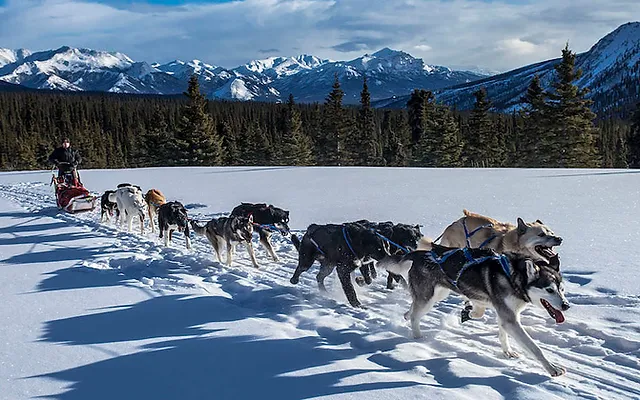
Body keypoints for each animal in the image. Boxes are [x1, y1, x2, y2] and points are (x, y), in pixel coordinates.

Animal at [380, 242, 568, 376]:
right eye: (549, 290)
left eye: (562, 289)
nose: (566, 305)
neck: (513, 276)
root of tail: (421, 253)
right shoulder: (509, 318)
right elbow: (535, 348)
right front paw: (553, 368)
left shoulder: (505, 315)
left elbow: (500, 332)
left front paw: (507, 351)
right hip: (428, 299)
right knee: (415, 316)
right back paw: (418, 337)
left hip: (437, 295)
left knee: (412, 309)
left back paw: (407, 315)